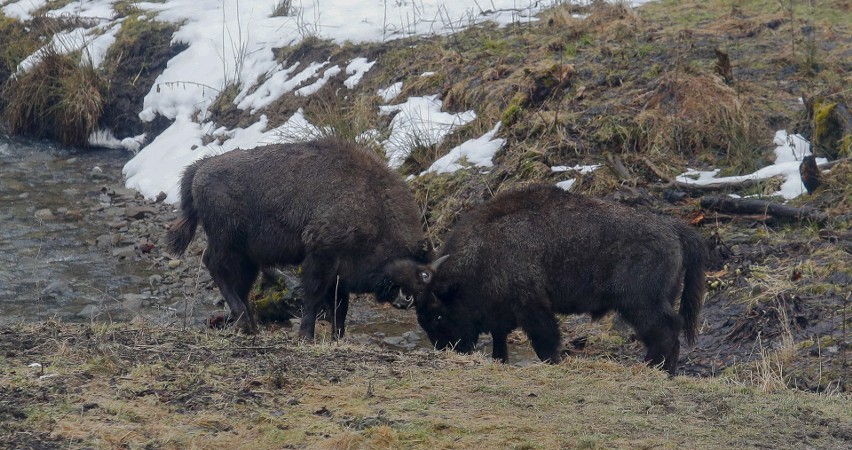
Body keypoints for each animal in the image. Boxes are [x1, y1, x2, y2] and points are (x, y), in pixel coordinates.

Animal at [165, 139, 432, 340]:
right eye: (417, 269)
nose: (406, 300)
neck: (374, 204)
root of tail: (200, 168)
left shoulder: (339, 273)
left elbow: (340, 307)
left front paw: (337, 338)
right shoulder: (321, 257)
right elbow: (314, 297)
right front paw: (306, 335)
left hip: (248, 255)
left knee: (241, 284)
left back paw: (251, 326)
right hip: (227, 243)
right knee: (215, 267)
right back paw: (245, 323)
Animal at [390, 185, 708, 374]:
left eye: (437, 316)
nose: (448, 349)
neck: (483, 250)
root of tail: (673, 228)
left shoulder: (532, 306)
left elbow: (545, 342)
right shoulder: (503, 314)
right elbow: (500, 341)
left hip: (640, 303)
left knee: (665, 331)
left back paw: (652, 370)